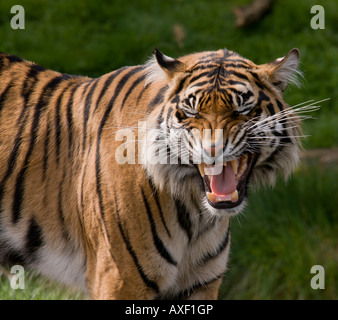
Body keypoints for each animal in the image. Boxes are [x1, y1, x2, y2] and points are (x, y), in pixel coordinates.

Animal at [0, 47, 304, 300]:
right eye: (190, 112)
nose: (212, 150)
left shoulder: (200, 284)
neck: (196, 213)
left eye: (242, 110)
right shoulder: (120, 279)